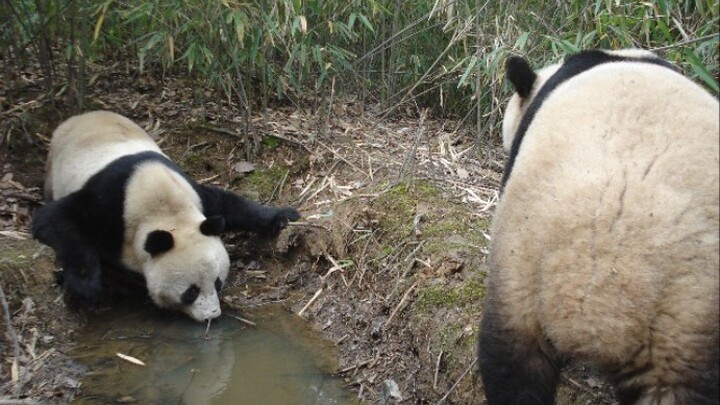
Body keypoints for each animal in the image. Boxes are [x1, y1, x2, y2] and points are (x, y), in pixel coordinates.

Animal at [32, 111, 300, 322]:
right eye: (191, 292)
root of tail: (80, 115)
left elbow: (229, 204)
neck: (162, 208)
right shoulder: (108, 205)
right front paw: (86, 286)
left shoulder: (194, 195)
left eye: (218, 282)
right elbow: (55, 218)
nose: (212, 315)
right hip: (54, 169)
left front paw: (282, 217)